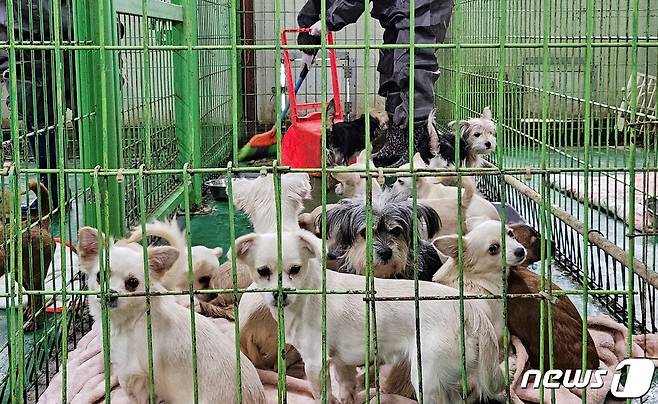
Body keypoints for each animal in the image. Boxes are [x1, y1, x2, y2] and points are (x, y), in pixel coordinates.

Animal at [233, 230, 500, 404]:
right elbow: (346, 389)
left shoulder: (315, 363)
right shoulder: (341, 363)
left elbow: (322, 394)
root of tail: (470, 311)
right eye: (263, 272)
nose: (280, 294)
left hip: (428, 376)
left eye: (295, 270)